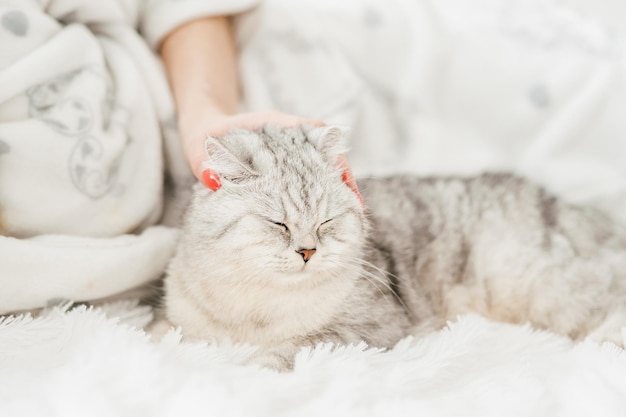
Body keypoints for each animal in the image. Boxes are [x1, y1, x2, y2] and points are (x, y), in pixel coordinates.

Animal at [161, 125, 624, 368]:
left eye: (326, 221)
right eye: (278, 224)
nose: (307, 252)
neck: (255, 309)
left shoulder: (369, 328)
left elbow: (293, 348)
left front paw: (255, 366)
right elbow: (166, 329)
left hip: (543, 284)